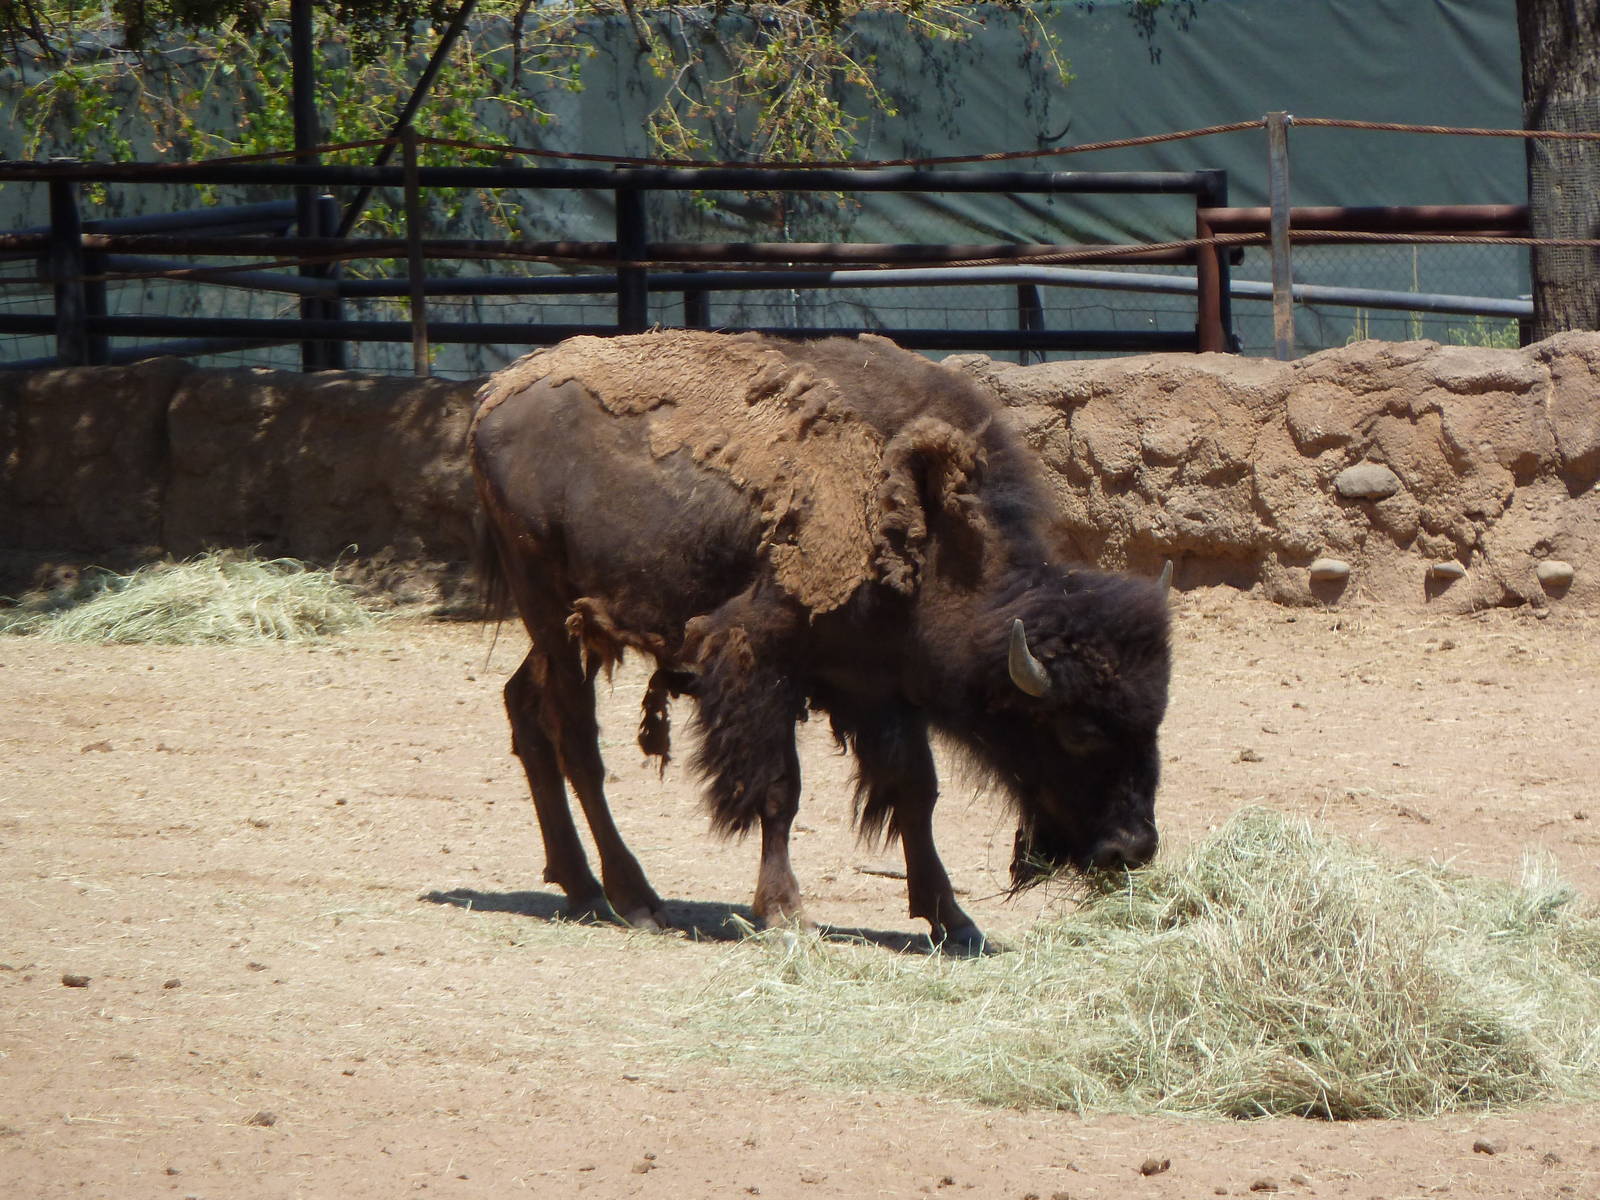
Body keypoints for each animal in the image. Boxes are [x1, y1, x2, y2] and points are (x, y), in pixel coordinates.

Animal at [469, 330, 1171, 951]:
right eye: (1077, 730)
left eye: (1153, 720)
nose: (1131, 848)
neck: (937, 550)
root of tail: (494, 394)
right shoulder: (764, 663)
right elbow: (781, 790)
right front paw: (784, 913)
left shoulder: (881, 688)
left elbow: (915, 793)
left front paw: (952, 920)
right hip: (551, 613)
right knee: (575, 739)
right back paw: (632, 898)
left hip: (567, 628)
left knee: (522, 706)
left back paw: (580, 885)